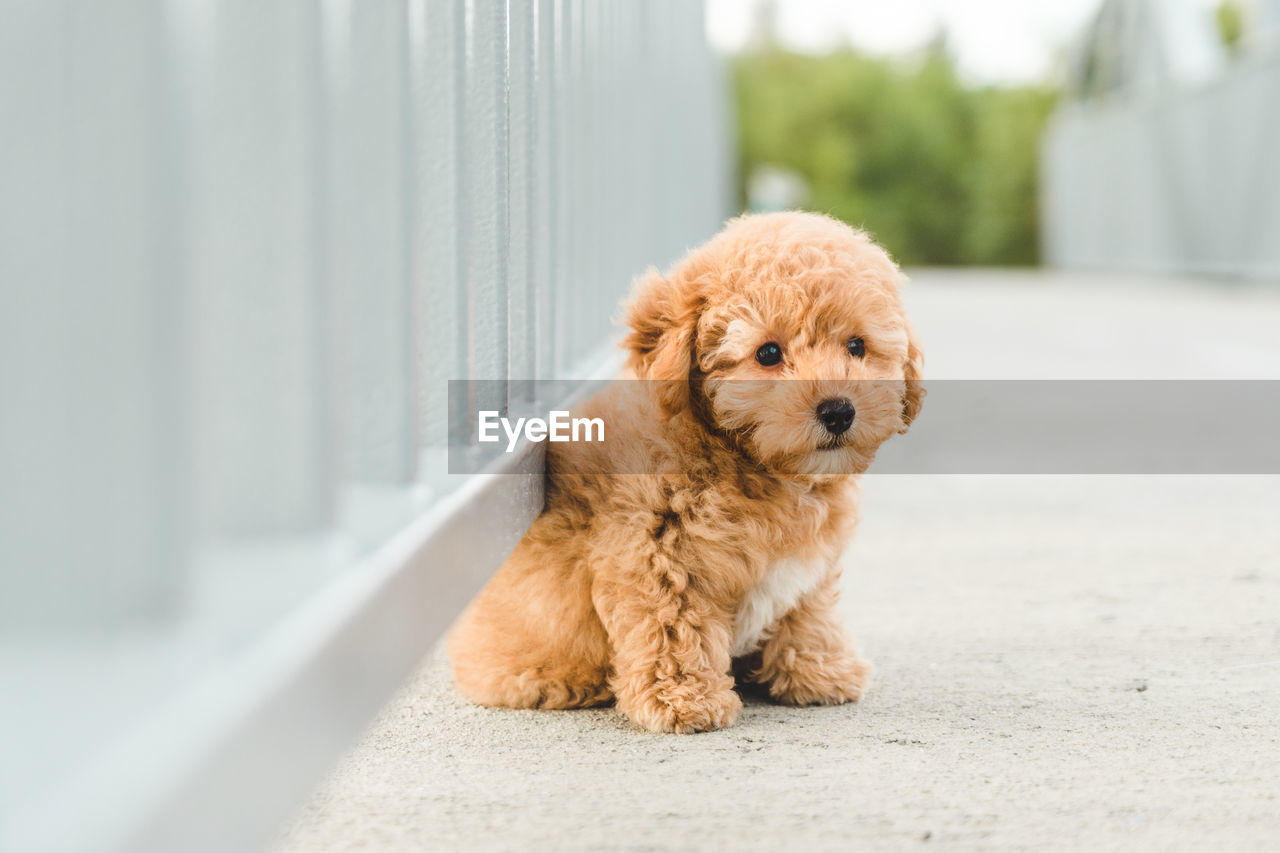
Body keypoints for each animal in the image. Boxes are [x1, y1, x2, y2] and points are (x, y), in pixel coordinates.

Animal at [450, 208, 921, 727]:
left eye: (857, 346)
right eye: (768, 353)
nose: (838, 411)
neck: (745, 460)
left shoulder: (806, 566)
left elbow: (806, 610)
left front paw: (819, 672)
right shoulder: (657, 549)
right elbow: (672, 625)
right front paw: (684, 699)